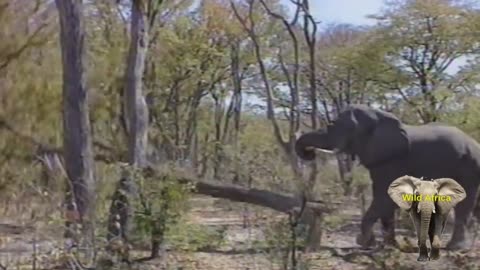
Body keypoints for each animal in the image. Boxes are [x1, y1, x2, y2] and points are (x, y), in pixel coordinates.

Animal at [294, 104, 480, 250]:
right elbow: (387, 197)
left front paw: (364, 242)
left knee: (463, 203)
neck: (378, 117)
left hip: (468, 166)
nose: (310, 154)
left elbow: (383, 196)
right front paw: (389, 245)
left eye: (344, 127)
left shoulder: (391, 160)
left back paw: (456, 248)